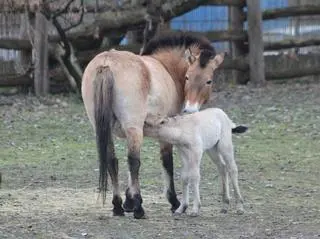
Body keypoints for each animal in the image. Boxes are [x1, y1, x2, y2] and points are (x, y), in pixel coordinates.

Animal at [81, 30, 224, 219]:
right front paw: (173, 202)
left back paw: (118, 206)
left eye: (208, 81)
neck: (166, 68)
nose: (190, 109)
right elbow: (167, 162)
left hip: (105, 129)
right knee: (133, 162)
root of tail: (106, 62)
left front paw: (128, 202)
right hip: (133, 128)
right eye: (187, 77)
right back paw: (139, 209)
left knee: (112, 161)